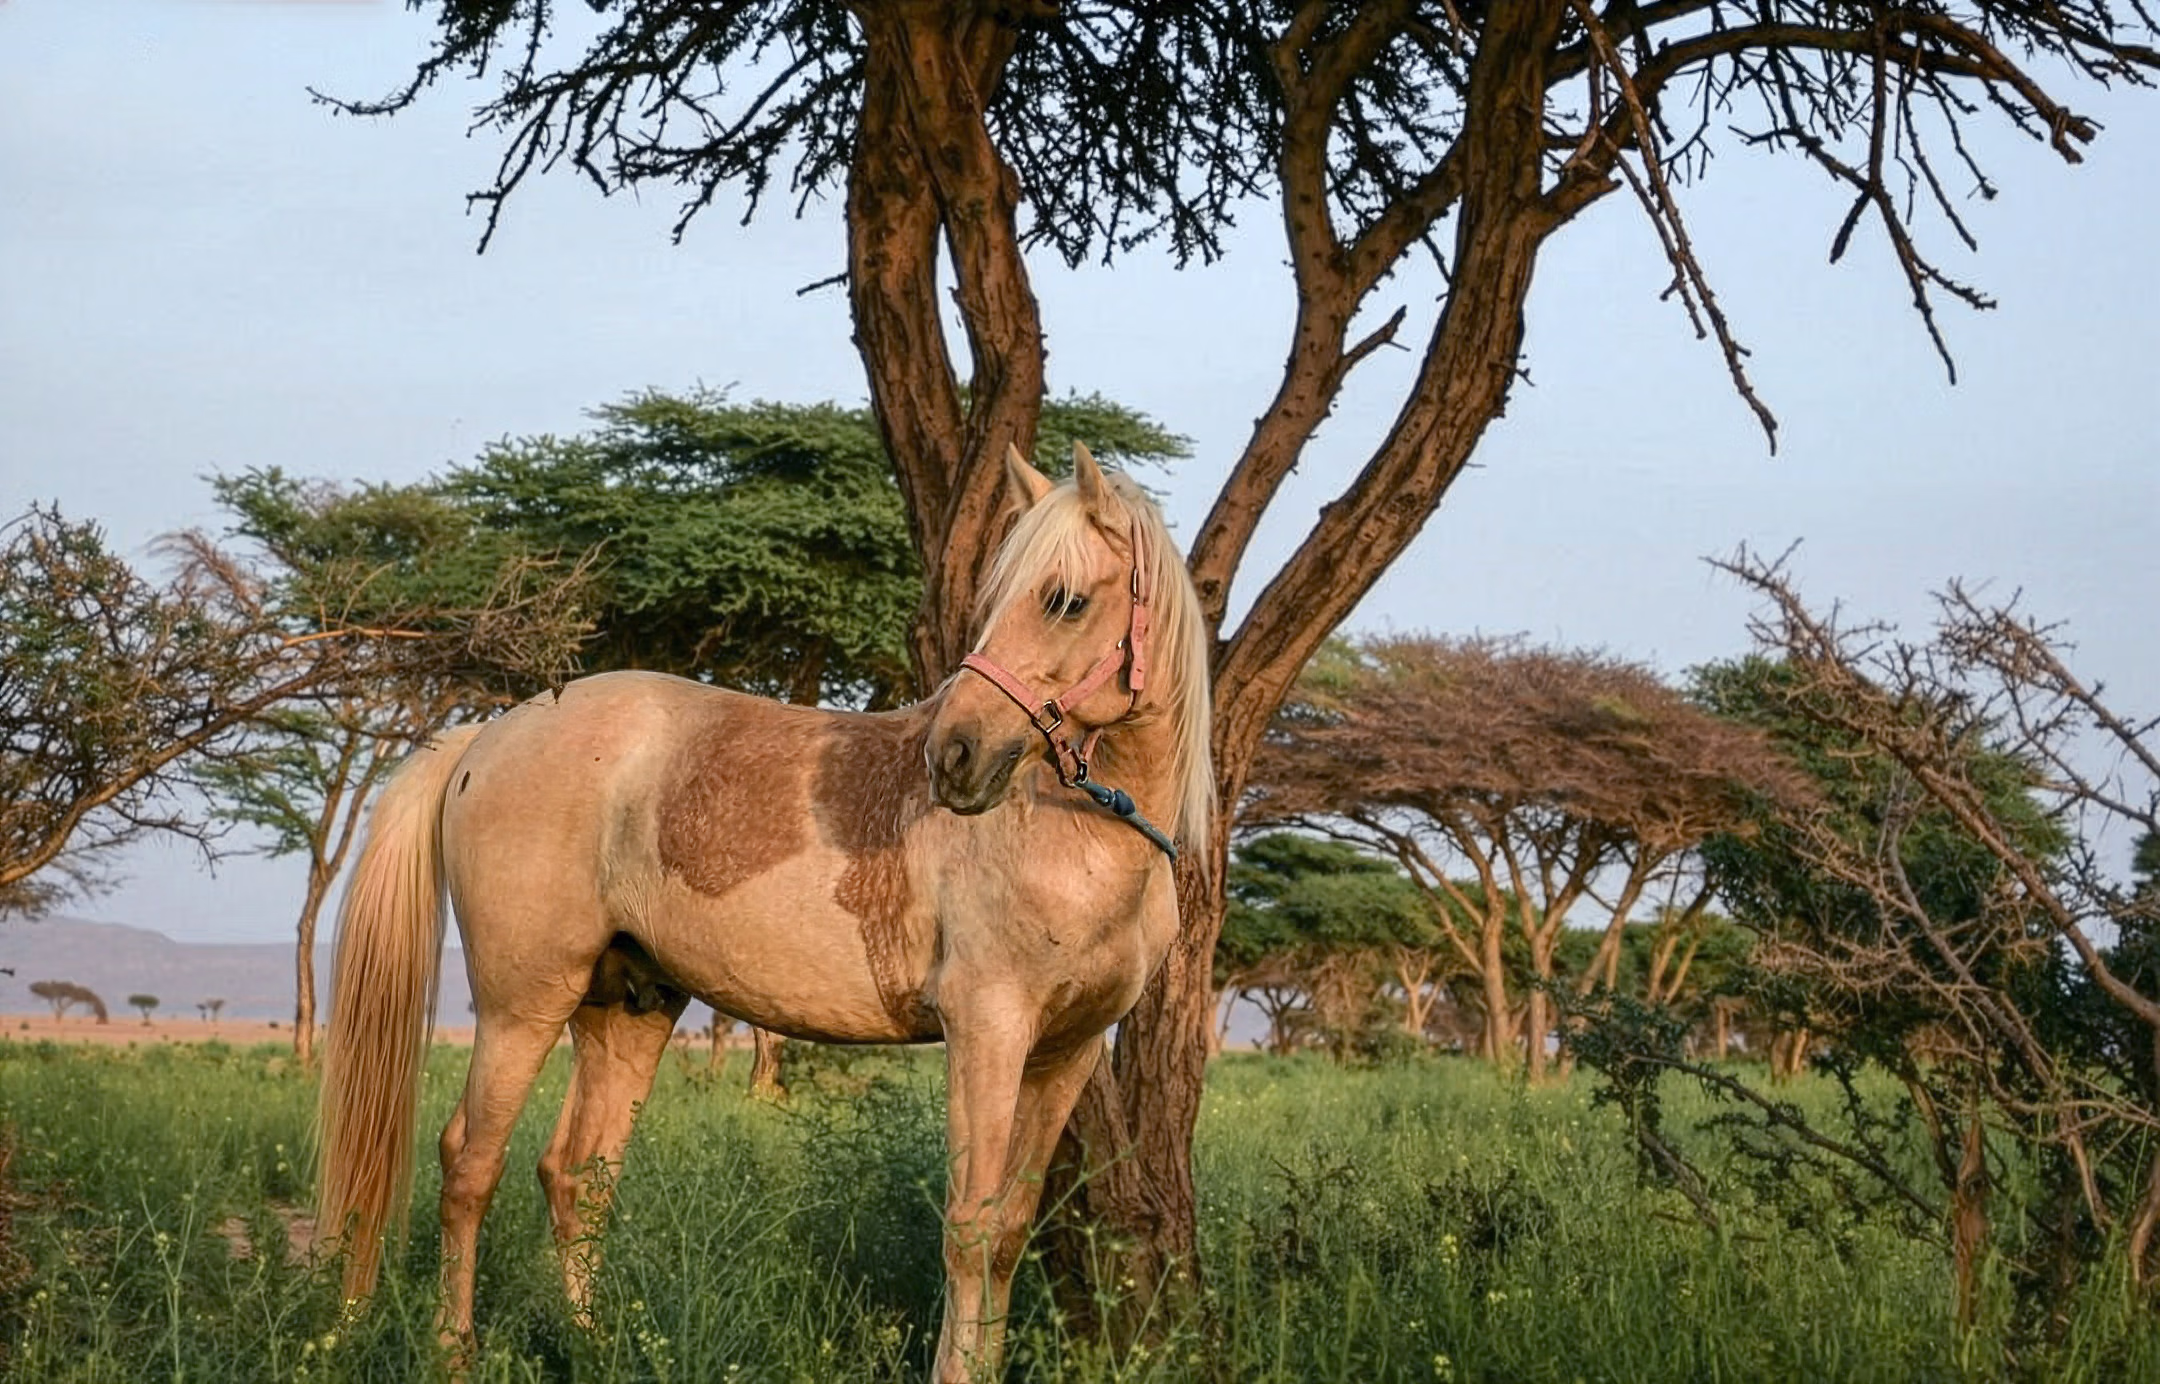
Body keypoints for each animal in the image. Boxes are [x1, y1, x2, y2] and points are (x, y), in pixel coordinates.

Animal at [315, 441, 1212, 1382]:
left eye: (1065, 599)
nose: (955, 757)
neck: (1073, 831)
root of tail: (483, 738)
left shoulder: (1066, 1052)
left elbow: (1005, 1234)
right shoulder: (987, 1031)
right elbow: (968, 1230)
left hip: (625, 1009)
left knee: (576, 1176)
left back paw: (594, 1345)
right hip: (522, 1006)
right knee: (469, 1165)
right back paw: (455, 1352)